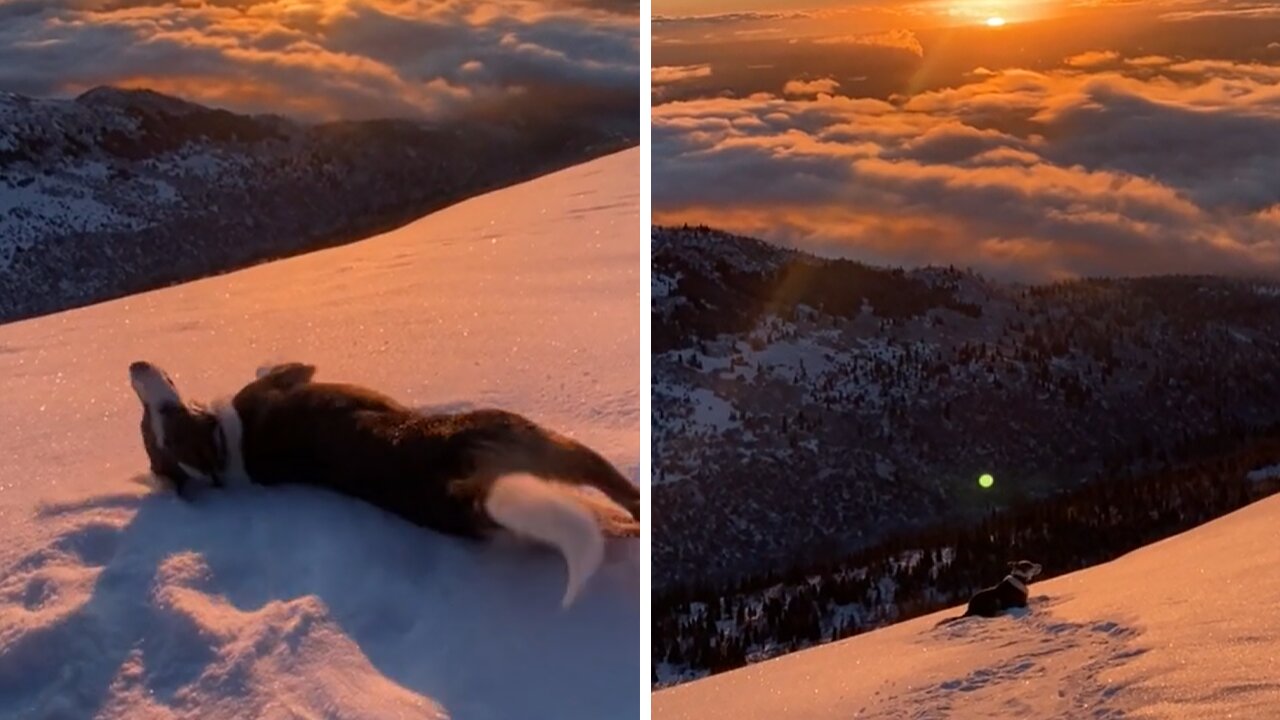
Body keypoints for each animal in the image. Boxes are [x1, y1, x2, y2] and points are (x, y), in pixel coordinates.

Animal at [129, 358, 640, 604]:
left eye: (157, 414)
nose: (134, 367)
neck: (229, 447)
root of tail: (455, 486)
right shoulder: (289, 377)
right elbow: (281, 367)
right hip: (536, 440)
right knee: (622, 494)